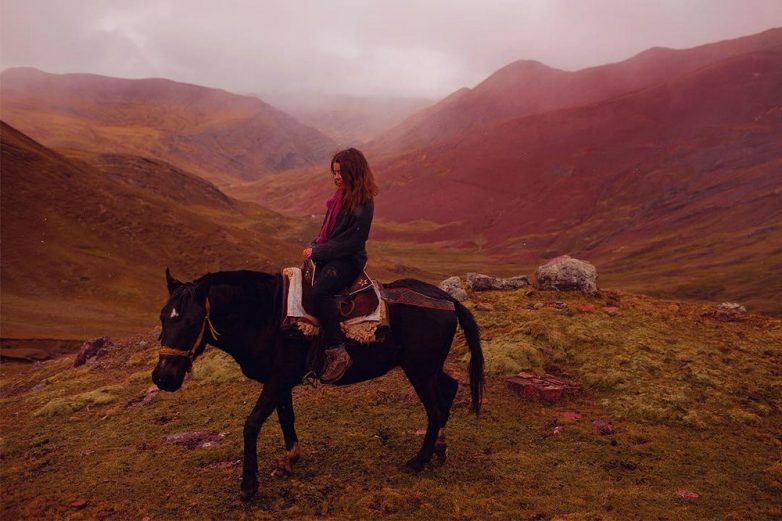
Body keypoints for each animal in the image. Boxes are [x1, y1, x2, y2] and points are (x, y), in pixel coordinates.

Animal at [152, 268, 484, 500]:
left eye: (192, 321)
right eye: (163, 318)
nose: (162, 377)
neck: (266, 315)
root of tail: (448, 300)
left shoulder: (279, 378)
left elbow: (252, 424)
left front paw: (249, 485)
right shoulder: (281, 380)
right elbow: (286, 418)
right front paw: (288, 461)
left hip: (420, 370)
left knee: (435, 410)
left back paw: (418, 461)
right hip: (428, 368)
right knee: (450, 389)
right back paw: (440, 449)